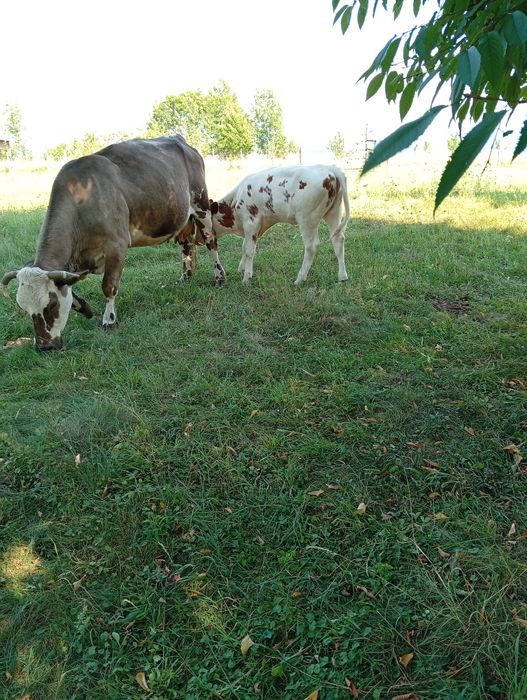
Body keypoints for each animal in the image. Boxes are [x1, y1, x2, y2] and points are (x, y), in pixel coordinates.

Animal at [1, 135, 225, 350]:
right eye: (24, 308)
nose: (44, 346)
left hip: (202, 206)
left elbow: (108, 286)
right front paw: (85, 307)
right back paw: (185, 277)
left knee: (211, 242)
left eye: (51, 305)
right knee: (186, 246)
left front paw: (109, 320)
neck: (82, 201)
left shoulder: (117, 246)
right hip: (181, 218)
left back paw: (219, 277)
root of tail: (182, 142)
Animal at [210, 164, 350, 285]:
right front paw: (241, 269)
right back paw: (342, 276)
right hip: (333, 212)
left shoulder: (250, 222)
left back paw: (300, 279)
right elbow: (244, 246)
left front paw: (246, 277)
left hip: (307, 218)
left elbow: (249, 250)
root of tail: (328, 167)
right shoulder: (253, 228)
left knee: (311, 246)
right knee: (338, 240)